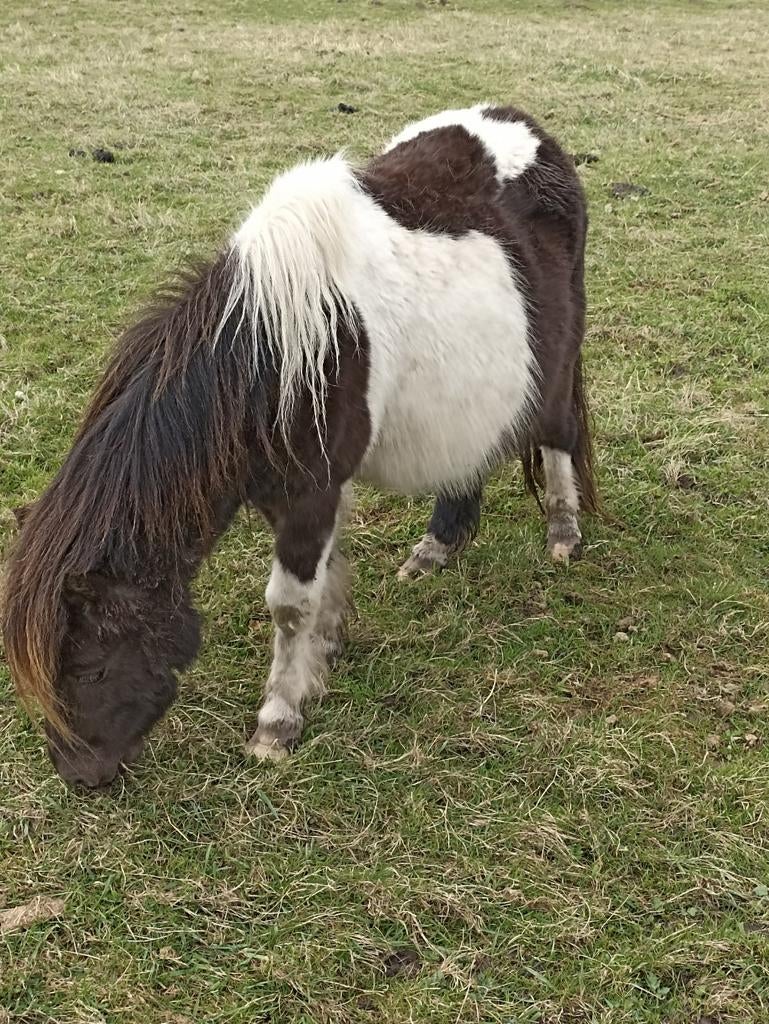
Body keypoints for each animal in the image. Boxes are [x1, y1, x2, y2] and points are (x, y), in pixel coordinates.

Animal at [2, 103, 597, 788]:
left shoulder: (310, 493)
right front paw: (327, 647)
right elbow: (325, 576)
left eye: (92, 667)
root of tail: (530, 131)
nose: (80, 777)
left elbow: (288, 605)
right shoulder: (294, 493)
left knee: (557, 434)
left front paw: (277, 723)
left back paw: (563, 534)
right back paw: (436, 548)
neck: (272, 357)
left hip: (555, 362)